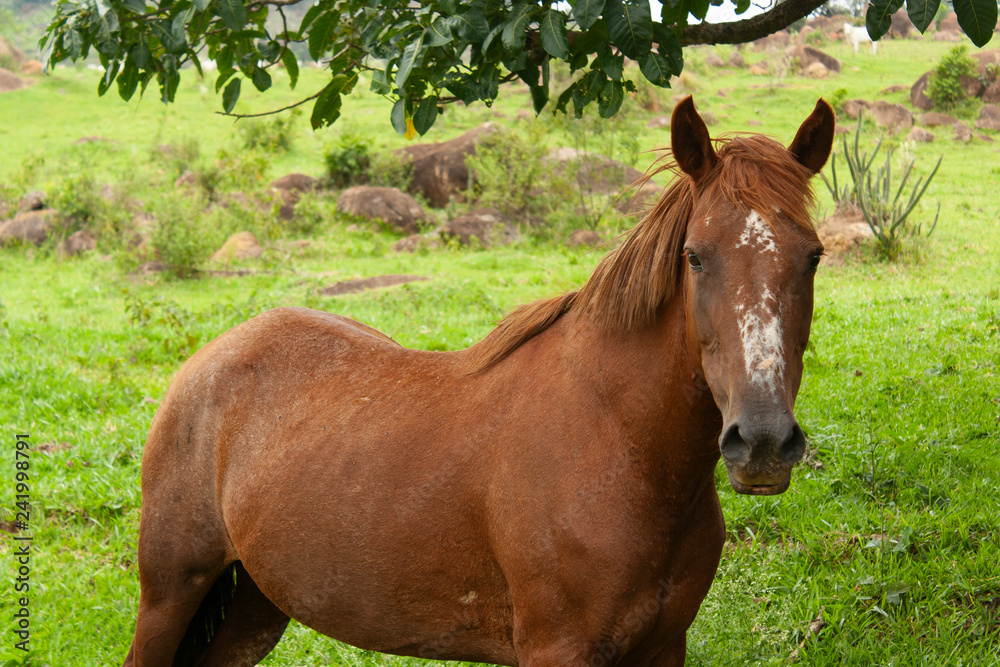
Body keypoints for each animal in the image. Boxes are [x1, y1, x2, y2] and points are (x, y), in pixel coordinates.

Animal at [123, 96, 834, 667]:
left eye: (813, 255)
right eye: (695, 256)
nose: (763, 442)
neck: (619, 444)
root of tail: (210, 357)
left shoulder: (662, 648)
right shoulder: (558, 649)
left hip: (258, 603)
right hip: (169, 593)